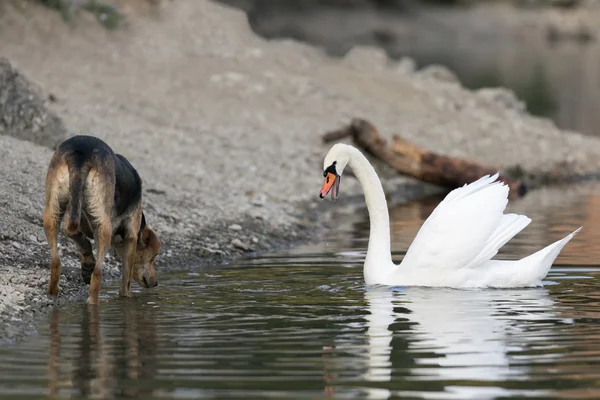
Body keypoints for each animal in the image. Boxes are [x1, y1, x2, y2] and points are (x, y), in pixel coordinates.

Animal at [43, 136, 161, 304]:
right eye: (154, 256)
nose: (156, 283)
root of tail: (81, 154)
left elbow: (78, 237)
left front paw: (87, 264)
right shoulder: (131, 236)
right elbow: (126, 281)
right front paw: (127, 297)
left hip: (52, 212)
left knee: (56, 261)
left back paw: (55, 290)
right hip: (104, 227)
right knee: (98, 274)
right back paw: (92, 300)